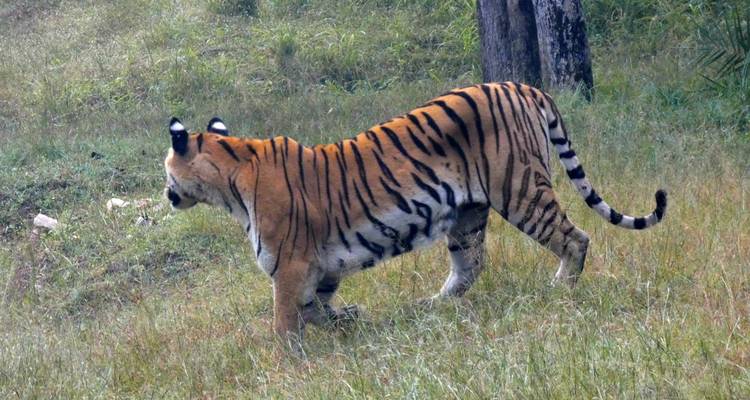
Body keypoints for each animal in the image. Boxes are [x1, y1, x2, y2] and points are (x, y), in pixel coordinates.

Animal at [164, 82, 667, 342]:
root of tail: (522, 85)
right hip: (467, 214)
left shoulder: (290, 264)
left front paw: (285, 359)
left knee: (575, 238)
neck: (229, 174)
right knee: (471, 265)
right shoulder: (320, 268)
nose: (167, 193)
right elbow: (317, 308)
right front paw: (349, 319)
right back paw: (431, 307)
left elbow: (286, 320)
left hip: (520, 190)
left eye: (166, 169)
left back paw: (561, 289)